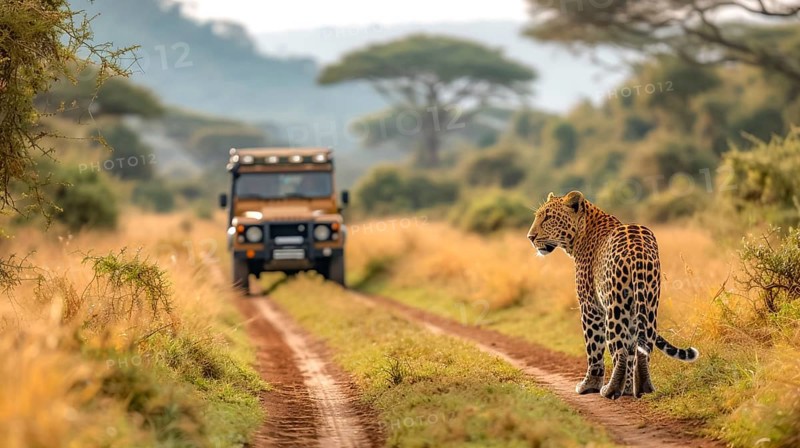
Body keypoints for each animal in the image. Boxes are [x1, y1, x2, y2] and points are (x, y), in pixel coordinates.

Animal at [527, 191, 699, 399]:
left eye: (548, 217)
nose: (530, 237)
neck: (582, 232)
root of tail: (637, 252)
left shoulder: (590, 306)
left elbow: (593, 347)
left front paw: (589, 385)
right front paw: (628, 387)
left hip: (615, 307)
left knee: (620, 350)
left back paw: (610, 389)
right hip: (647, 304)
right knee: (642, 347)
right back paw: (642, 388)